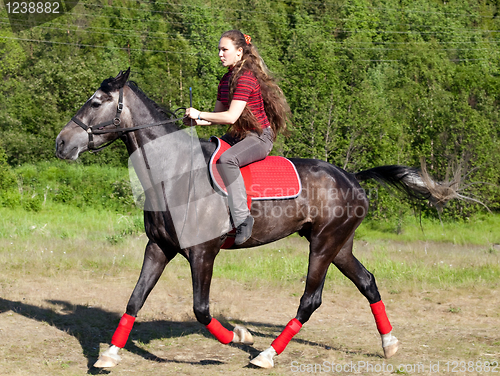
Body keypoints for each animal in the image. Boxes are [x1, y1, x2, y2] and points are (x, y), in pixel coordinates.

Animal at [55, 69, 450, 368]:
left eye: (97, 101)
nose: (61, 143)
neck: (174, 174)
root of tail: (351, 177)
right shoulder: (159, 247)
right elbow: (134, 300)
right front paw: (109, 355)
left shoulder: (203, 254)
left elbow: (201, 309)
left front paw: (239, 335)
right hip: (339, 246)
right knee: (367, 281)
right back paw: (389, 343)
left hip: (324, 245)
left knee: (310, 300)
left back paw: (266, 354)